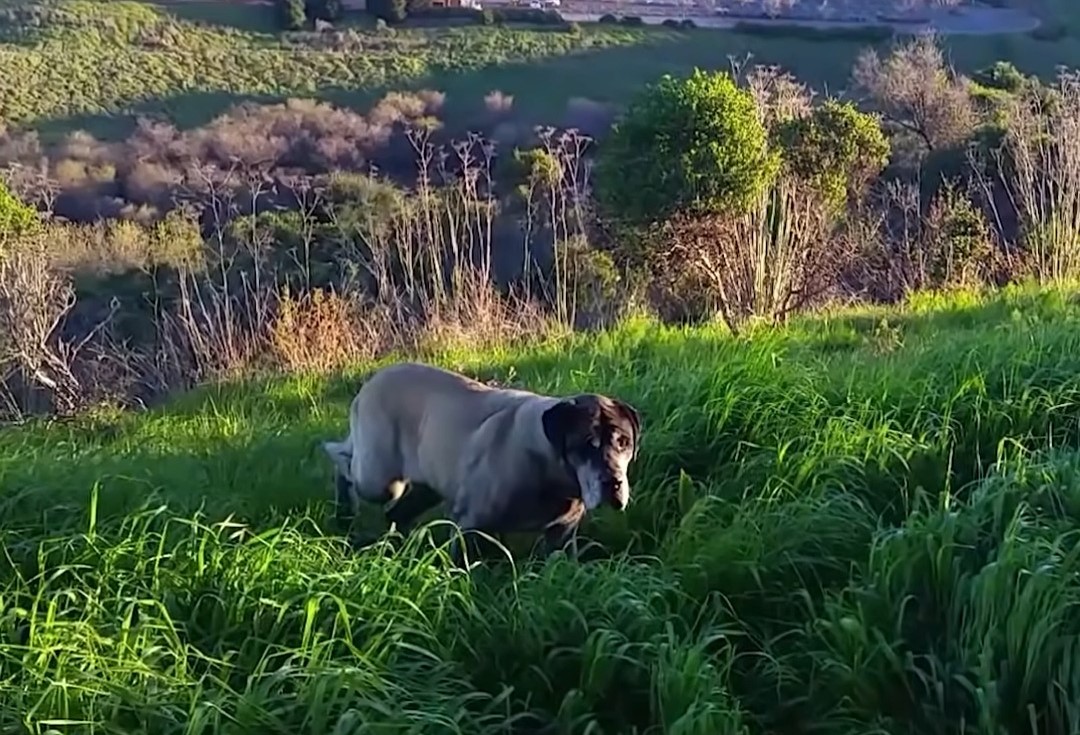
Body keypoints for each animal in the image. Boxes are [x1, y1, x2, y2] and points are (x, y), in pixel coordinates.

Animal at [319, 360, 639, 561]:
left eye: (623, 442)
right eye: (586, 445)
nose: (613, 482)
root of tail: (373, 380)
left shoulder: (560, 535)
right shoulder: (470, 524)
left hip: (425, 486)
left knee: (396, 512)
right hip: (379, 477)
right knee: (343, 461)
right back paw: (344, 509)